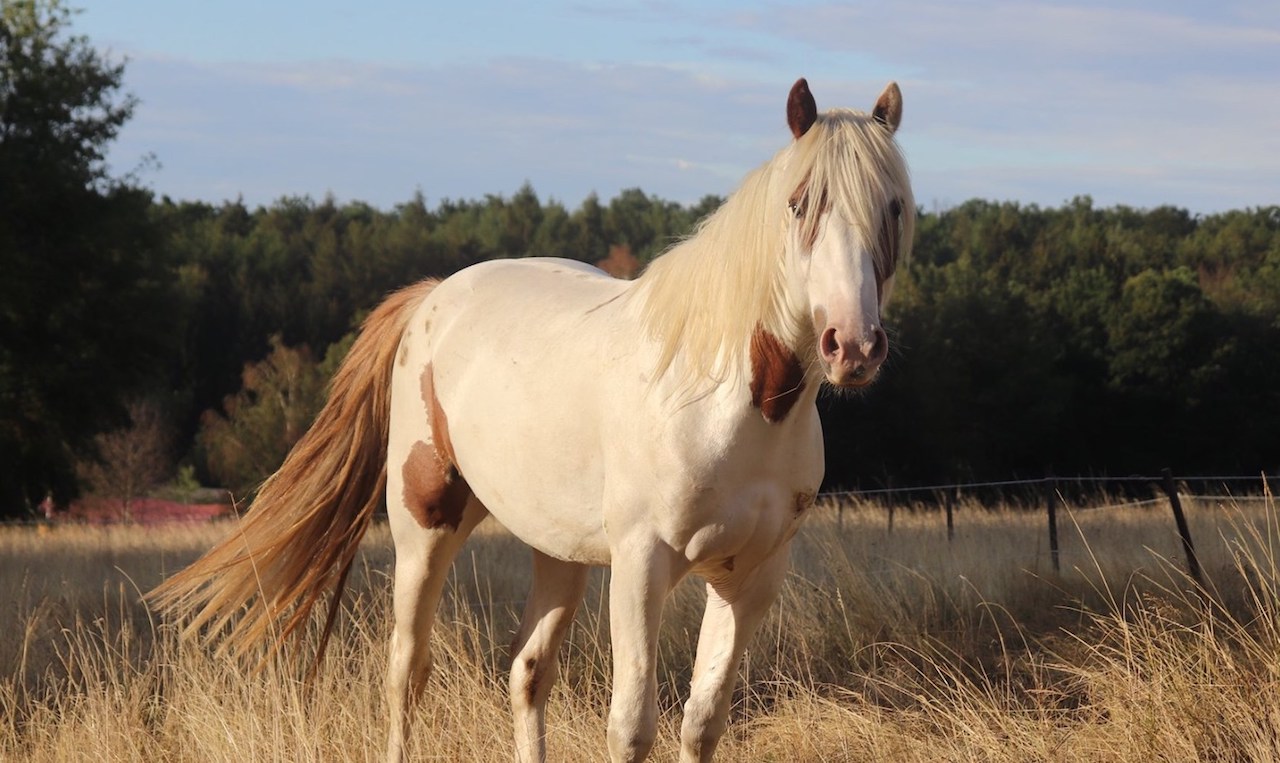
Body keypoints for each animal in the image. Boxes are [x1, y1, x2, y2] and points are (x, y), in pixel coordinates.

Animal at [149, 79, 911, 763]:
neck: (728, 399)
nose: (853, 346)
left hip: (559, 551)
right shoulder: (641, 567)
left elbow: (702, 724)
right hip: (425, 525)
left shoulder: (750, 578)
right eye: (799, 204)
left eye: (895, 208)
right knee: (406, 671)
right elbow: (632, 728)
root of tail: (434, 296)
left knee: (526, 672)